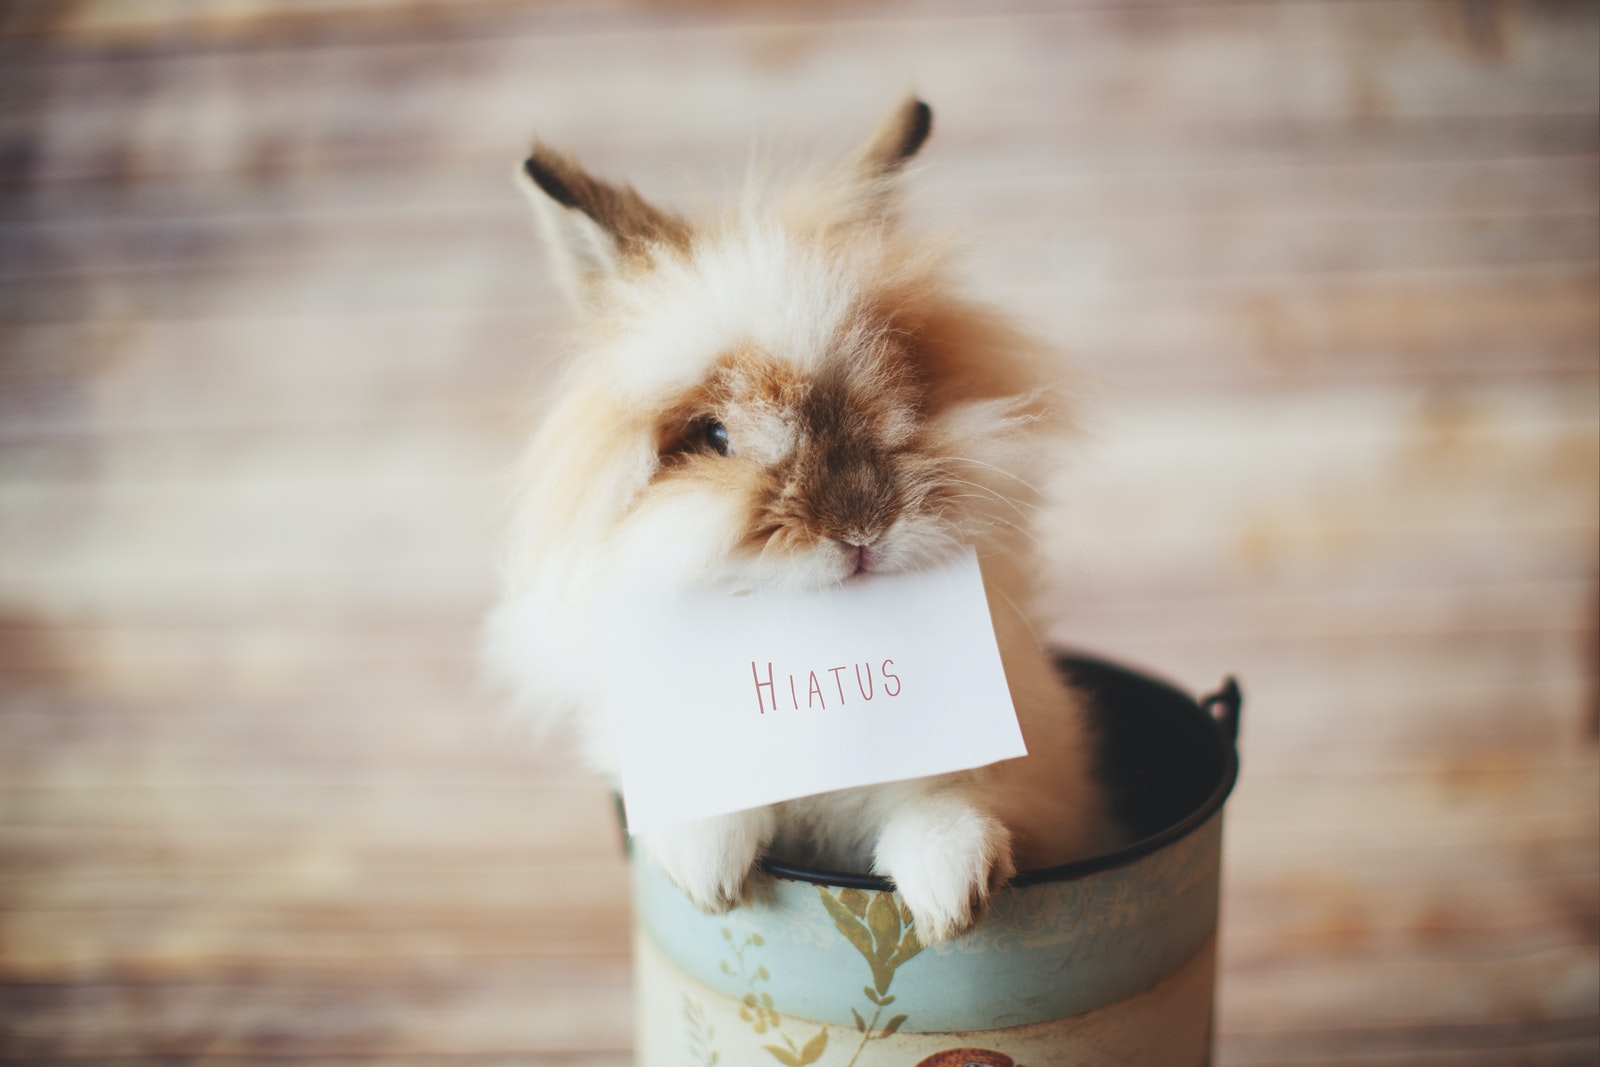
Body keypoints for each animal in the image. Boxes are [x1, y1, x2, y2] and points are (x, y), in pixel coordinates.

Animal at [480, 95, 1120, 940]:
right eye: (715, 436)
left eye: (901, 386)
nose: (860, 527)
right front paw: (709, 876)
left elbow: (949, 795)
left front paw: (950, 895)